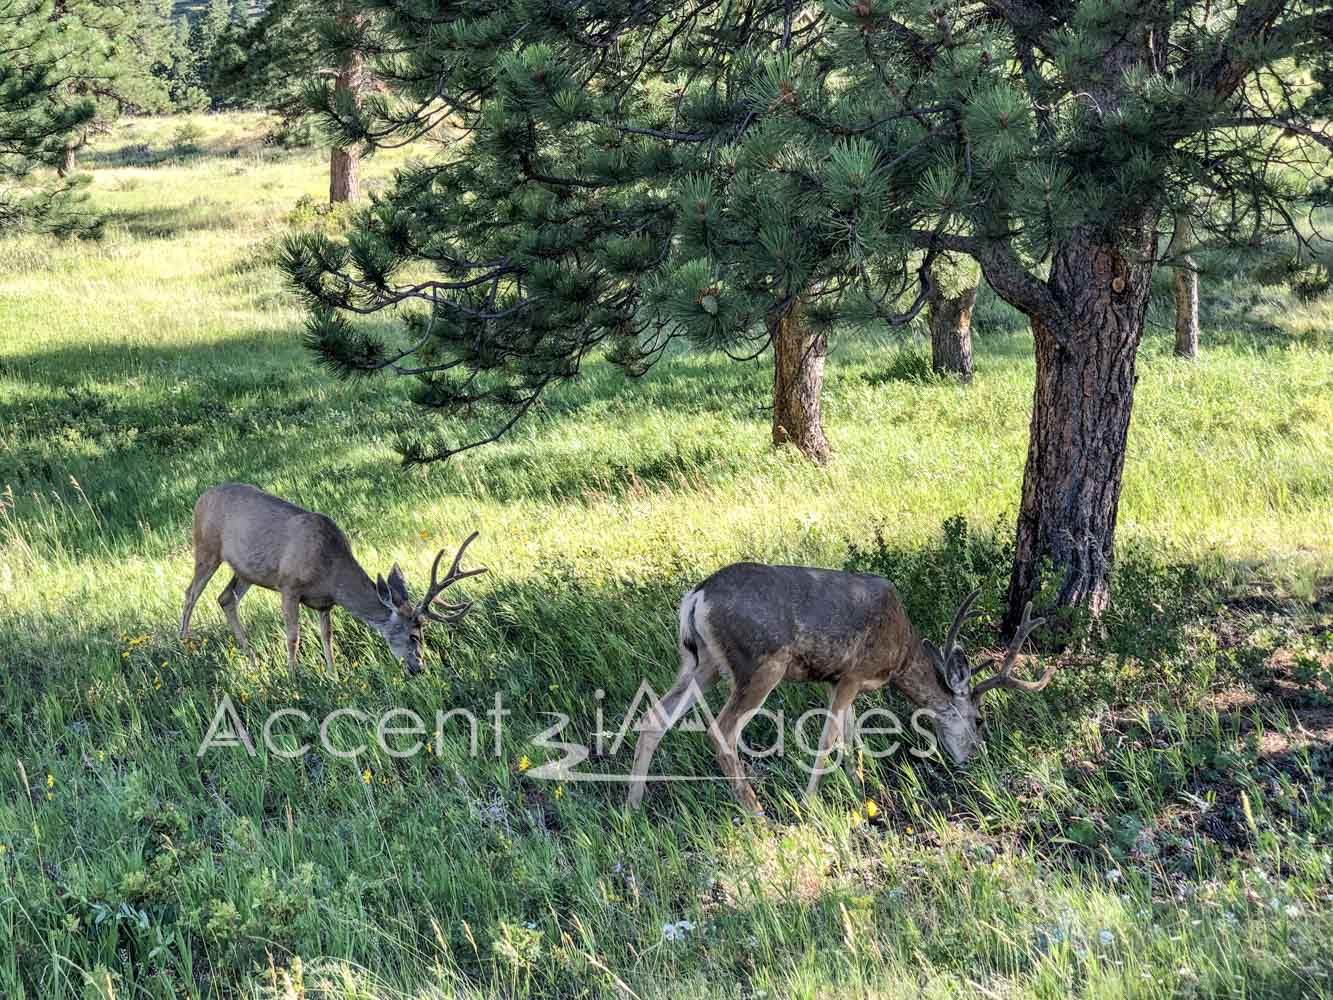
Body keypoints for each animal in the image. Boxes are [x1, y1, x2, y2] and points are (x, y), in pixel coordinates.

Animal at [179, 483, 486, 675]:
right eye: (413, 635)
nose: (419, 668)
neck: (329, 570)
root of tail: (200, 498)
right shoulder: (289, 585)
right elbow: (294, 636)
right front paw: (294, 675)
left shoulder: (325, 603)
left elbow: (327, 636)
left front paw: (333, 673)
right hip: (207, 547)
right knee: (191, 592)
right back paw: (185, 643)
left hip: (245, 570)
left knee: (225, 598)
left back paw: (252, 658)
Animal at [627, 563, 1054, 813]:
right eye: (980, 720)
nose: (976, 759)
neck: (900, 653)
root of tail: (696, 596)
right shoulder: (852, 673)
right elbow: (830, 736)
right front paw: (810, 803)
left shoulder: (841, 681)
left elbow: (851, 734)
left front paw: (857, 786)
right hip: (758, 663)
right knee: (721, 730)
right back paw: (757, 812)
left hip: (703, 664)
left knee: (653, 717)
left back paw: (633, 806)